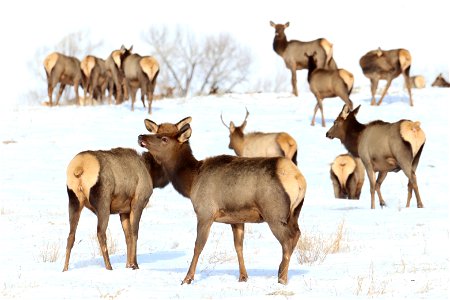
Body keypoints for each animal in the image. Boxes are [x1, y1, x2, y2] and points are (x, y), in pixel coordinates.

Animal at [62, 137, 170, 270]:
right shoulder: (138, 202)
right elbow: (134, 233)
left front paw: (128, 264)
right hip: (103, 202)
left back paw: (65, 269)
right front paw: (134, 265)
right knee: (100, 233)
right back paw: (109, 267)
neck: (150, 172)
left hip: (74, 201)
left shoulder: (123, 211)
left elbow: (128, 236)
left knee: (71, 235)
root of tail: (79, 168)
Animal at [137, 116, 306, 284]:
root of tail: (298, 179)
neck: (191, 182)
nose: (141, 137)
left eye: (164, 138)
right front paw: (243, 276)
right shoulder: (237, 219)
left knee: (288, 239)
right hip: (294, 213)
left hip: (274, 213)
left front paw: (187, 278)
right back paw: (280, 271)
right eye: (156, 132)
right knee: (297, 233)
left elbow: (198, 246)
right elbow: (239, 246)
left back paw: (282, 278)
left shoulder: (205, 212)